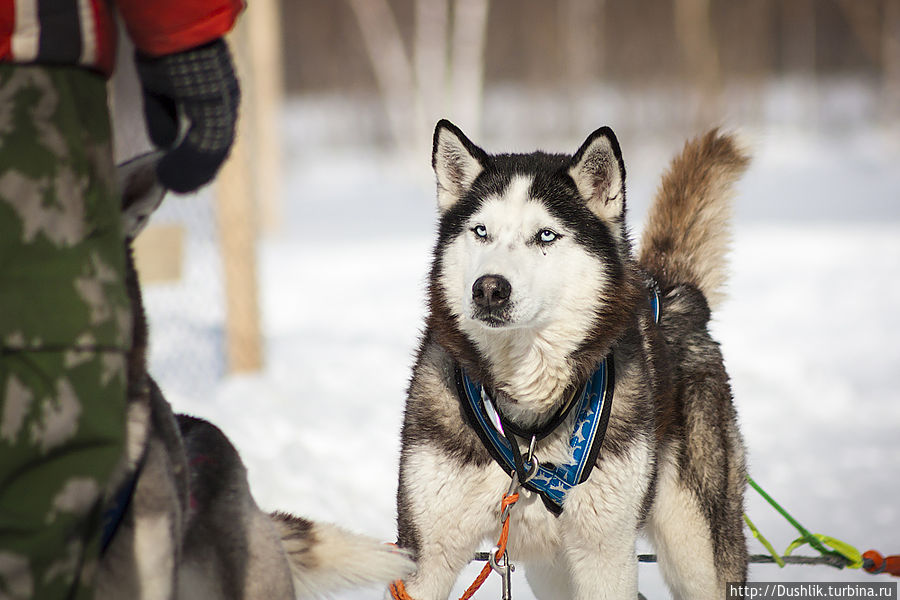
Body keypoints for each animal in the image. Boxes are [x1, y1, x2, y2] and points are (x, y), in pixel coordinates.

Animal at [396, 123, 752, 600]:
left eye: (546, 235)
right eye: (481, 230)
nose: (488, 289)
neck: (527, 422)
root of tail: (671, 291)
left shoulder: (606, 553)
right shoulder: (425, 555)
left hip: (696, 550)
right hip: (553, 570)